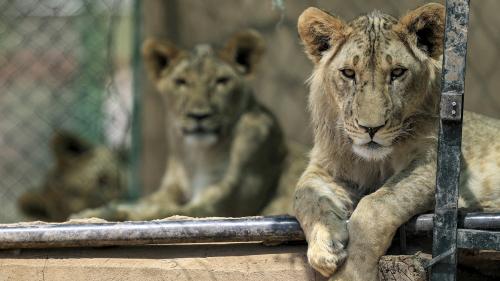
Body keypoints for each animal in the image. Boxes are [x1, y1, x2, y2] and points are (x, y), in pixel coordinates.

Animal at [294, 2, 500, 280]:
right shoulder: (326, 166)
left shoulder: (436, 166)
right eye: (348, 73)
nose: (371, 128)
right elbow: (303, 193)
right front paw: (325, 246)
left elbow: (376, 204)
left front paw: (352, 272)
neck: (374, 162)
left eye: (397, 72)